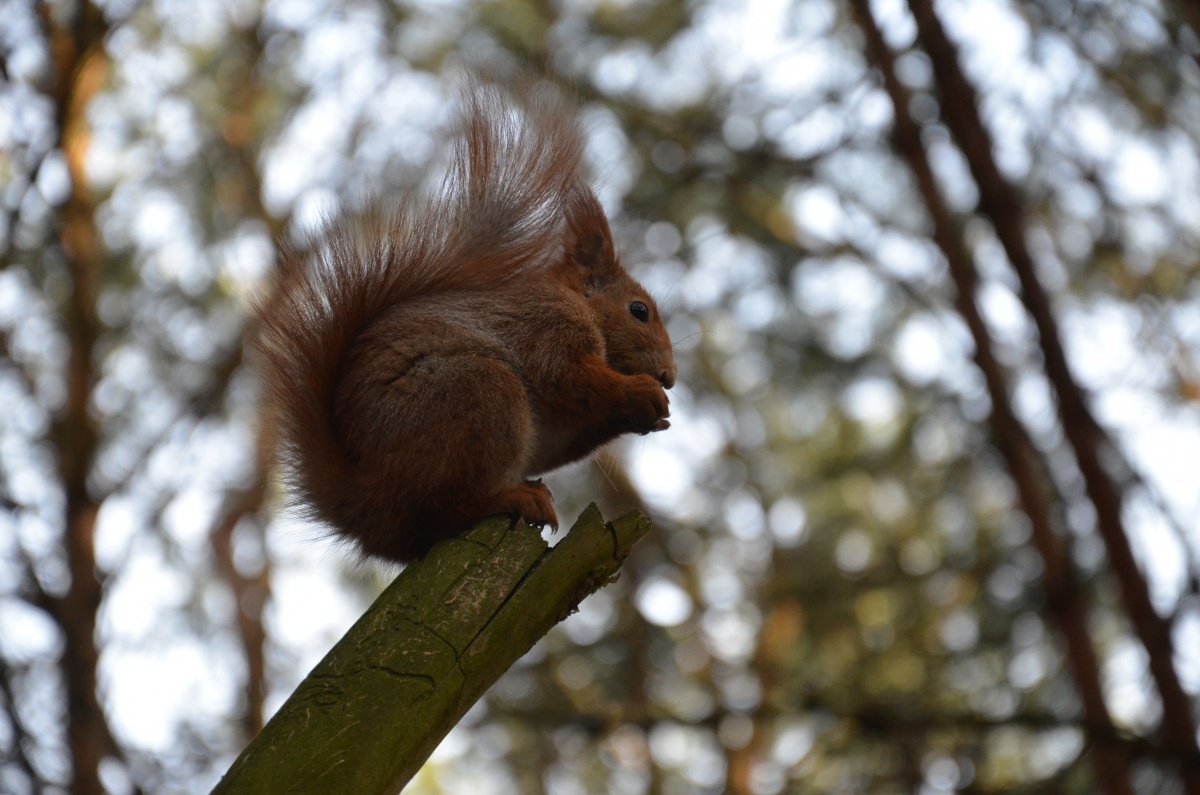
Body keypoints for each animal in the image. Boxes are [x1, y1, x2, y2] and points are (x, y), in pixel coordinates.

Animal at [254, 81, 677, 563]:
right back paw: (513, 498)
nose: (669, 376)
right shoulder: (546, 325)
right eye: (639, 311)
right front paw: (639, 391)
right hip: (479, 394)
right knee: (443, 512)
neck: (576, 301)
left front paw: (647, 416)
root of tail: (365, 503)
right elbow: (567, 375)